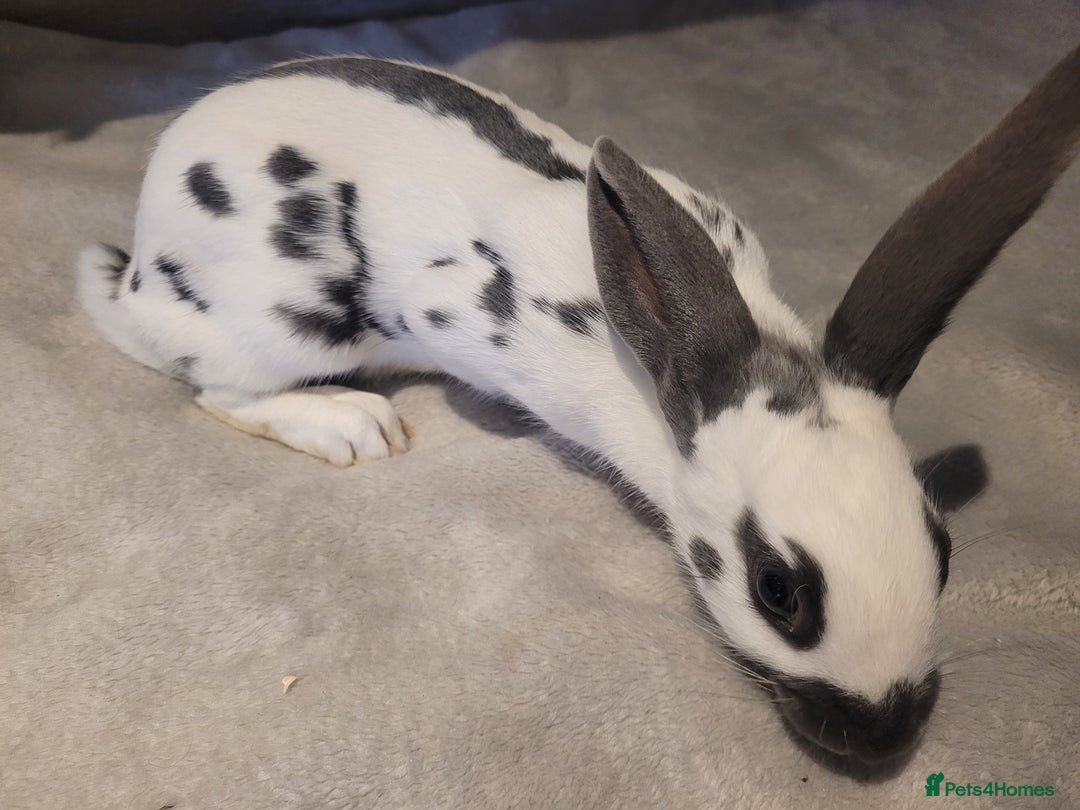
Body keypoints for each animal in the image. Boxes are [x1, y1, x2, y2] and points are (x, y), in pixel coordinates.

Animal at [76, 46, 1080, 769]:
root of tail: (140, 263)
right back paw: (355, 426)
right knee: (214, 384)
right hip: (284, 324)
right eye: (778, 589)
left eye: (943, 553)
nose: (883, 737)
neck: (665, 382)